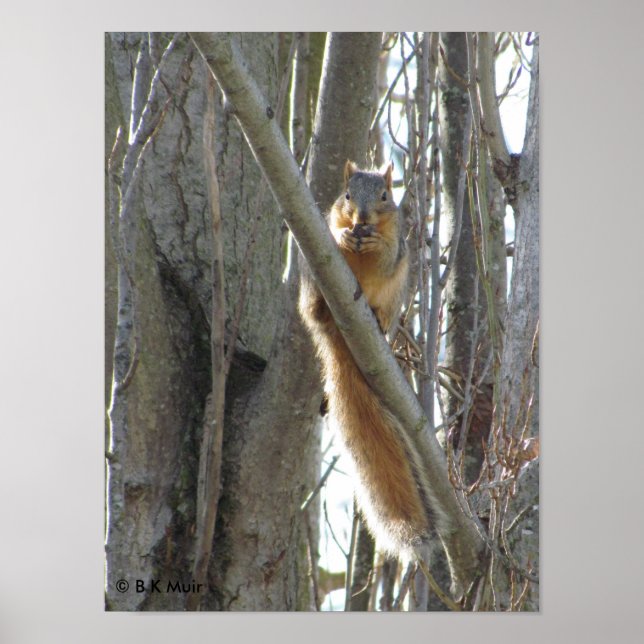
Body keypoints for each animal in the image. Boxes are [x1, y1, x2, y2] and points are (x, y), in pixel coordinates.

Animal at [299, 161, 438, 556]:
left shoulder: (397, 247)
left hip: (395, 298)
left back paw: (377, 318)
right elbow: (335, 233)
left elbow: (388, 255)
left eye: (385, 196)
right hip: (310, 283)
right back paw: (321, 309)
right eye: (347, 195)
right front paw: (344, 237)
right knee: (314, 308)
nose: (361, 218)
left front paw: (375, 242)